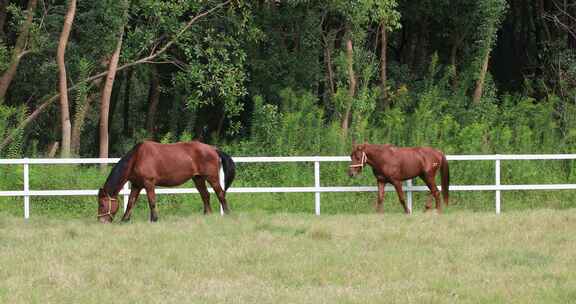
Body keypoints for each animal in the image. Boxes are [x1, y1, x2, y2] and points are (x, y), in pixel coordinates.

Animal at [98, 141, 235, 223]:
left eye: (102, 204)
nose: (101, 221)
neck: (137, 157)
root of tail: (213, 149)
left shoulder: (149, 183)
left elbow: (152, 201)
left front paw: (154, 219)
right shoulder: (137, 185)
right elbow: (131, 202)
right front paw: (124, 219)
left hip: (212, 178)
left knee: (220, 194)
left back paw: (227, 214)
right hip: (198, 179)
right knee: (205, 195)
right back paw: (207, 215)